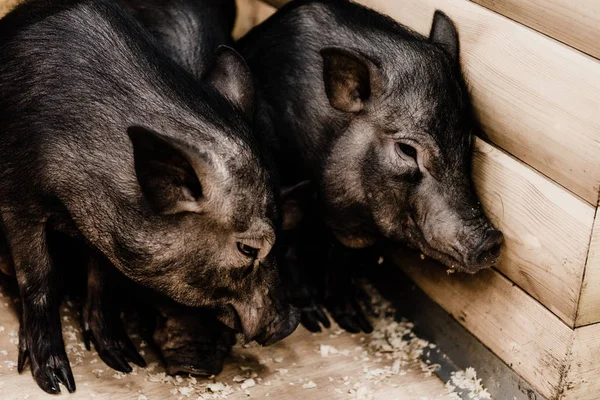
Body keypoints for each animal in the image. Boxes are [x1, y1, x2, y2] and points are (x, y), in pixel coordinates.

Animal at [0, 0, 298, 394]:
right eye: (248, 248)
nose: (291, 323)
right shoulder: (17, 198)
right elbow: (40, 278)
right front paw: (57, 383)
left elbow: (103, 279)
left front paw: (124, 360)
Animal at [237, 0, 504, 330]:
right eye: (406, 149)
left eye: (466, 142)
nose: (491, 240)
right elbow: (290, 247)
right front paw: (317, 322)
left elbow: (342, 259)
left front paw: (357, 324)